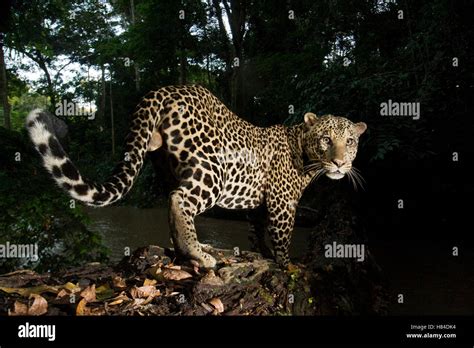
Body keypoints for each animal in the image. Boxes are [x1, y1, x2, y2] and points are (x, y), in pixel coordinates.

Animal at [25, 85, 366, 270]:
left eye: (350, 141)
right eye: (326, 139)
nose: (339, 162)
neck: (304, 151)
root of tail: (162, 89)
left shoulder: (260, 205)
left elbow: (258, 230)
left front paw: (264, 254)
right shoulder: (283, 203)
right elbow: (282, 236)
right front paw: (286, 265)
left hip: (166, 165)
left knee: (171, 202)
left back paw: (188, 250)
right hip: (213, 170)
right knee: (180, 200)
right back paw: (199, 254)